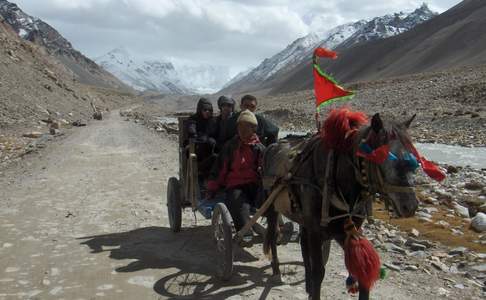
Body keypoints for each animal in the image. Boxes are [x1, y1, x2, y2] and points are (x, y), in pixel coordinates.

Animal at [262, 109, 426, 300]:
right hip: (272, 207)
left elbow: (362, 271)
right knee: (273, 236)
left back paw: (307, 285)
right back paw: (276, 271)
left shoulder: (345, 231)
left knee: (303, 244)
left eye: (414, 159)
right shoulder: (317, 231)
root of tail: (272, 146)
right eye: (383, 157)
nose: (410, 206)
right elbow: (319, 271)